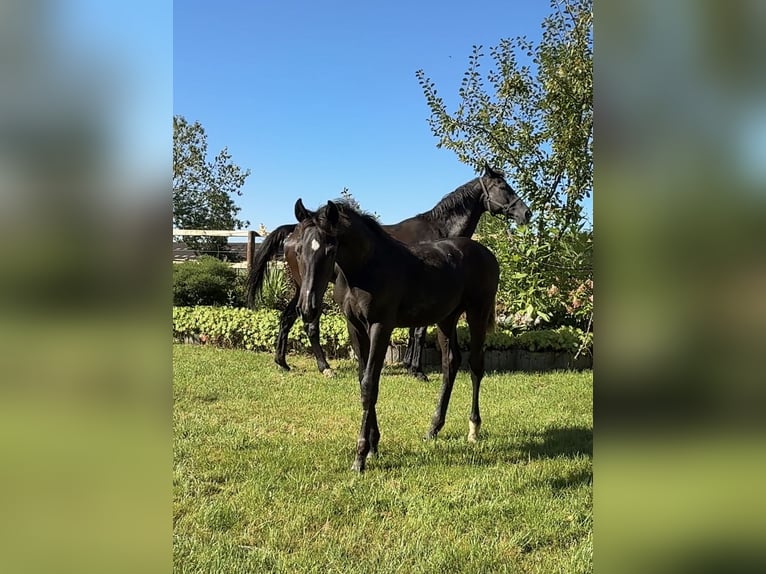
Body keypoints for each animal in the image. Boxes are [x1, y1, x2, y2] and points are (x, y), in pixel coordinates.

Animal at [246, 164, 529, 378]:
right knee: (309, 323)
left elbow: (415, 331)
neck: (440, 231)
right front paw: (416, 370)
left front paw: (409, 365)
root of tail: (292, 230)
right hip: (314, 285)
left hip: (301, 287)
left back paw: (282, 362)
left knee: (287, 318)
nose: (526, 213)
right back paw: (325, 367)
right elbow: (418, 332)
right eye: (503, 187)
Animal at [293, 198, 500, 472]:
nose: (308, 307)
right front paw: (373, 446)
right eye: (298, 251)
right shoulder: (354, 327)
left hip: (478, 312)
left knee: (476, 365)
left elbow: (370, 384)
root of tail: (487, 254)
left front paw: (360, 456)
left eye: (330, 248)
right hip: (447, 318)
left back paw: (473, 428)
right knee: (451, 363)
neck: (366, 269)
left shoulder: (381, 326)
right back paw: (433, 428)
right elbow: (363, 379)